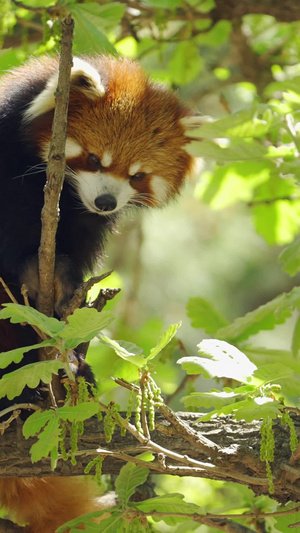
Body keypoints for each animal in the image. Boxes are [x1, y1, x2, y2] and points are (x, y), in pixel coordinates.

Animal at [0, 56, 203, 528]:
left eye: (137, 175)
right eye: (93, 158)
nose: (107, 201)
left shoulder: (83, 227)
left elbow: (69, 282)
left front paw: (54, 284)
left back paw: (67, 375)